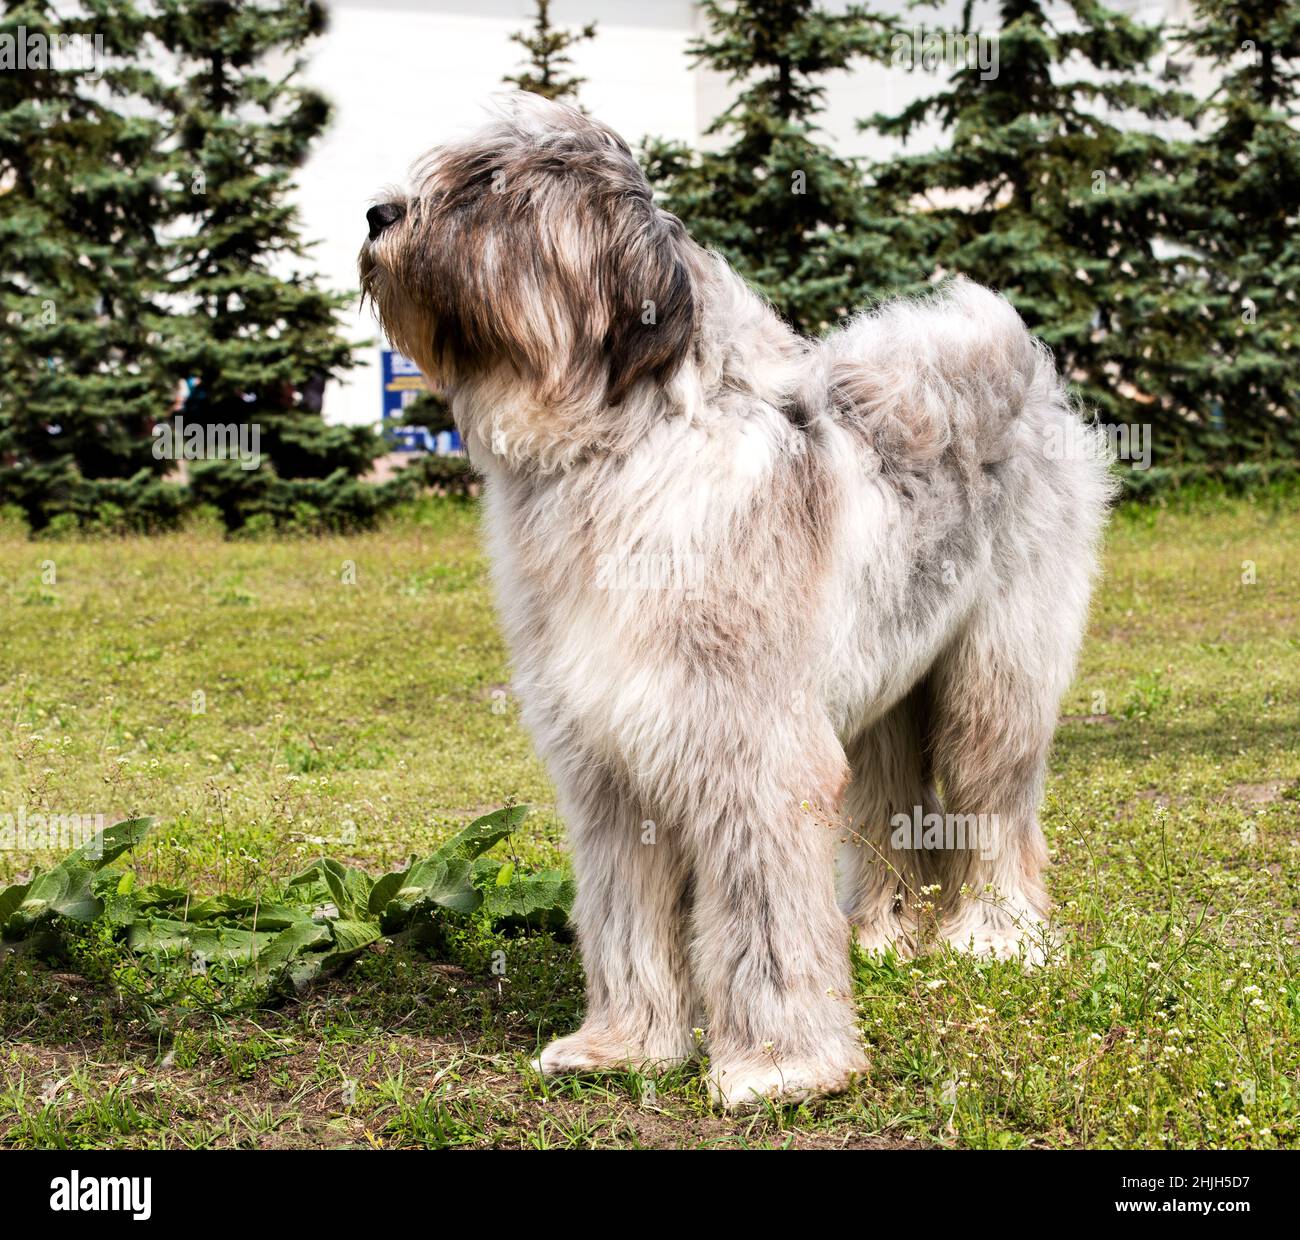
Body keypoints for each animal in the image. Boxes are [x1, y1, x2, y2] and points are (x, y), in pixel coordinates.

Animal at [361, 94, 1112, 1102]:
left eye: (487, 186)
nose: (376, 216)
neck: (622, 448)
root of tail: (1001, 340)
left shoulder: (751, 747)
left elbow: (762, 919)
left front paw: (779, 1065)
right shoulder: (608, 758)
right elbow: (625, 914)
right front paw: (624, 1044)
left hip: (994, 675)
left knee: (995, 799)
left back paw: (998, 937)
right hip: (884, 685)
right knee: (891, 798)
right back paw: (880, 935)